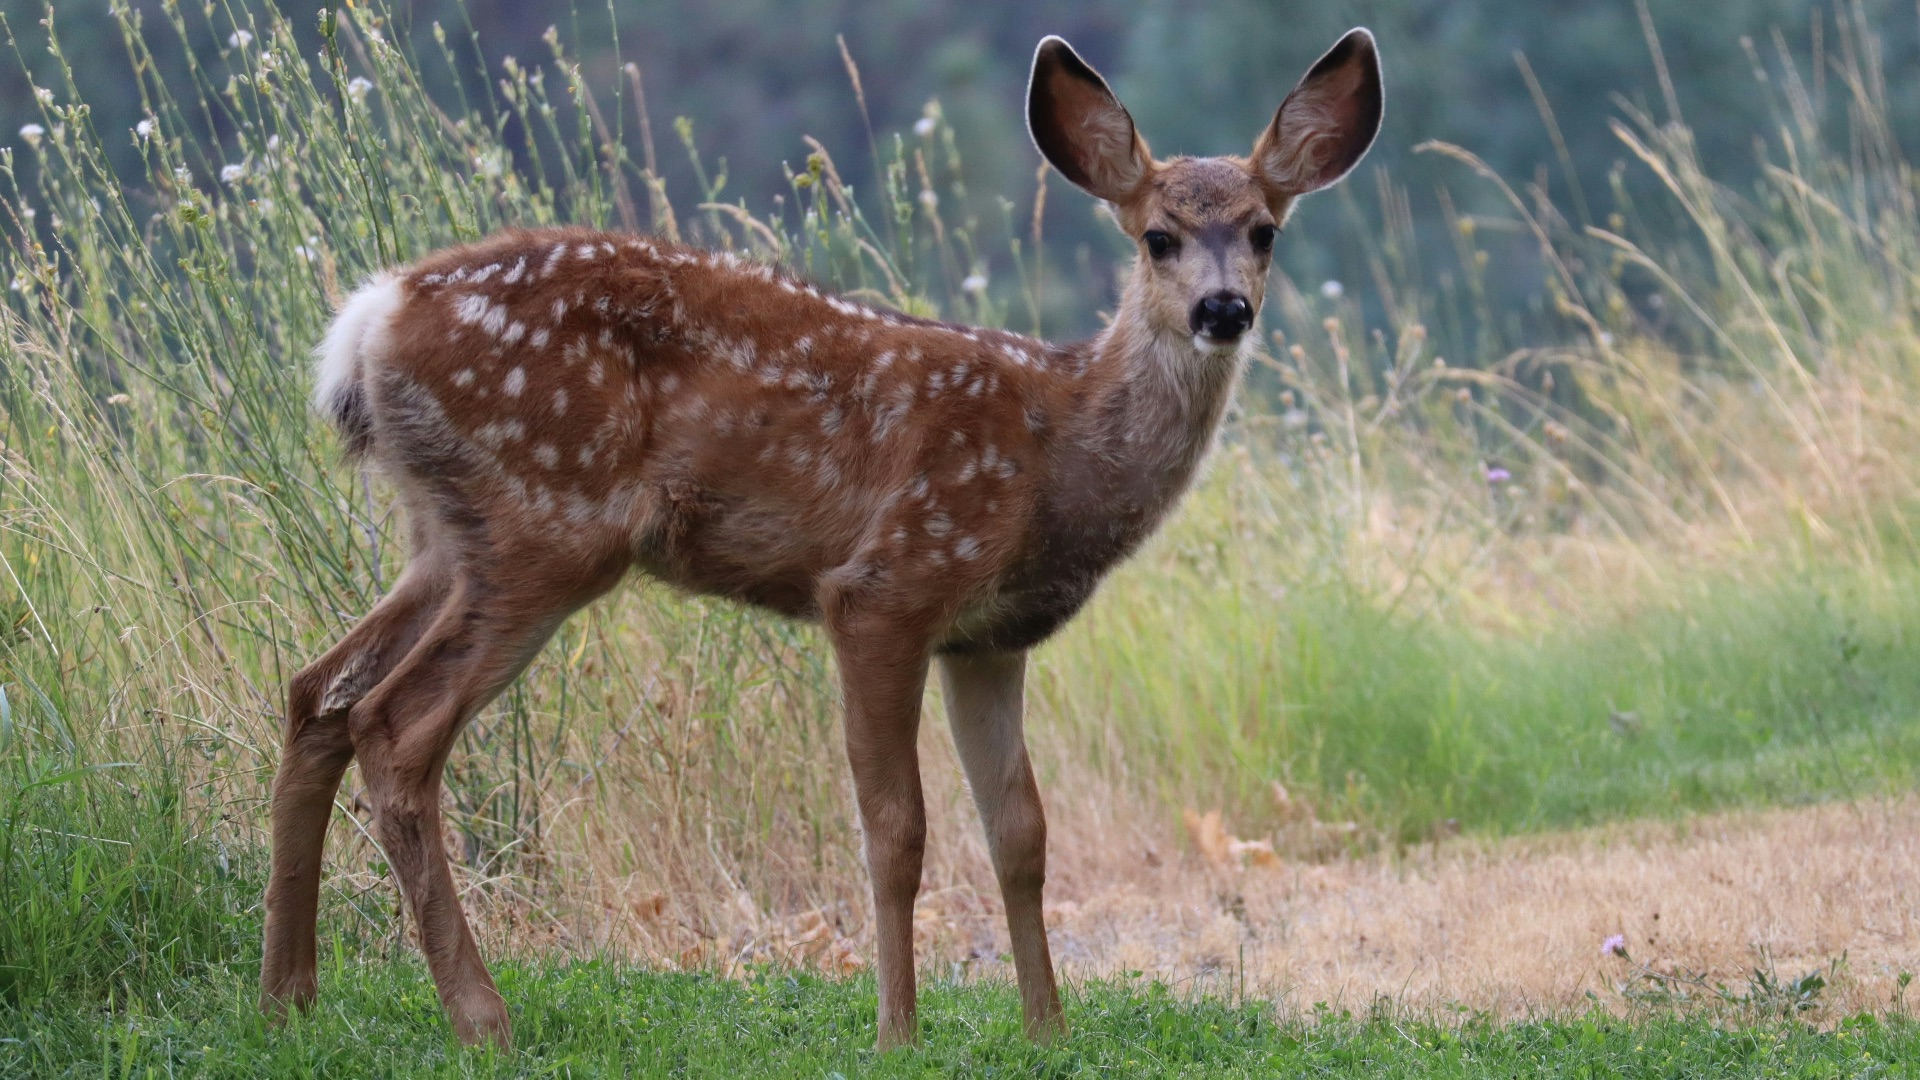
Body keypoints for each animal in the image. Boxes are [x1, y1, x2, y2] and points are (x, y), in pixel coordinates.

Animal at [260, 29, 1382, 1049]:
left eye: (1264, 230)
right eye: (1157, 236)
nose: (1222, 309)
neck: (1055, 450)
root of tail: (368, 321)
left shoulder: (988, 637)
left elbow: (1020, 832)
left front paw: (1047, 1033)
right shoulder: (889, 584)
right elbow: (898, 828)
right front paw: (899, 1033)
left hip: (447, 535)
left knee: (318, 693)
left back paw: (289, 996)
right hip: (548, 521)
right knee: (395, 725)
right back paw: (482, 1019)